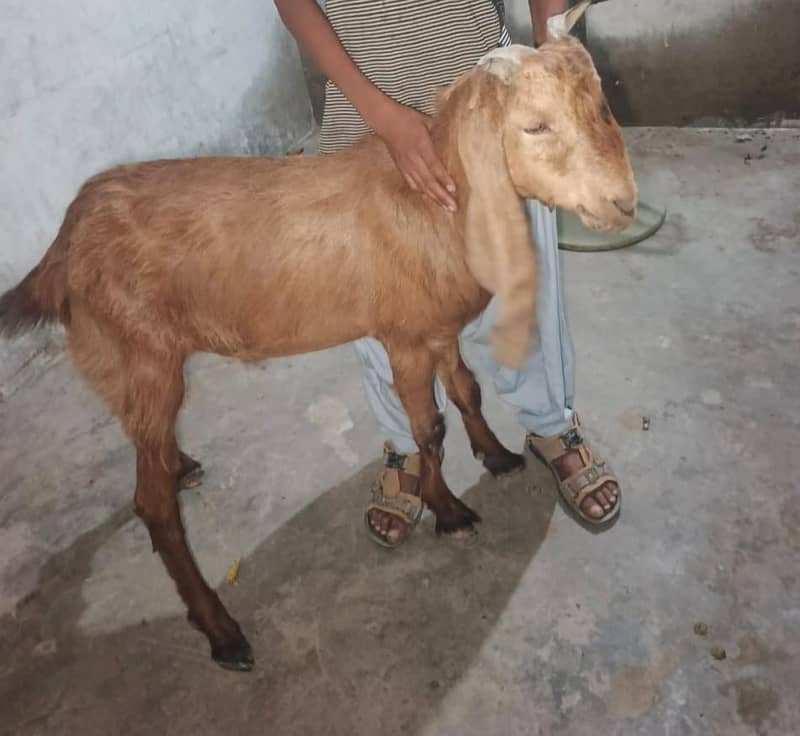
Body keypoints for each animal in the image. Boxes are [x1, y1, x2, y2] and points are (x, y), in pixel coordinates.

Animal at [0, 6, 636, 671]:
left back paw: (182, 466)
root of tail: (64, 244)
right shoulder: (403, 338)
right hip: (142, 357)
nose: (622, 202)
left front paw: (498, 455)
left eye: (602, 103)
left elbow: (466, 389)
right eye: (534, 125)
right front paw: (450, 511)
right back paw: (222, 631)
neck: (441, 201)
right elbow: (427, 432)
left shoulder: (435, 326)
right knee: (151, 507)